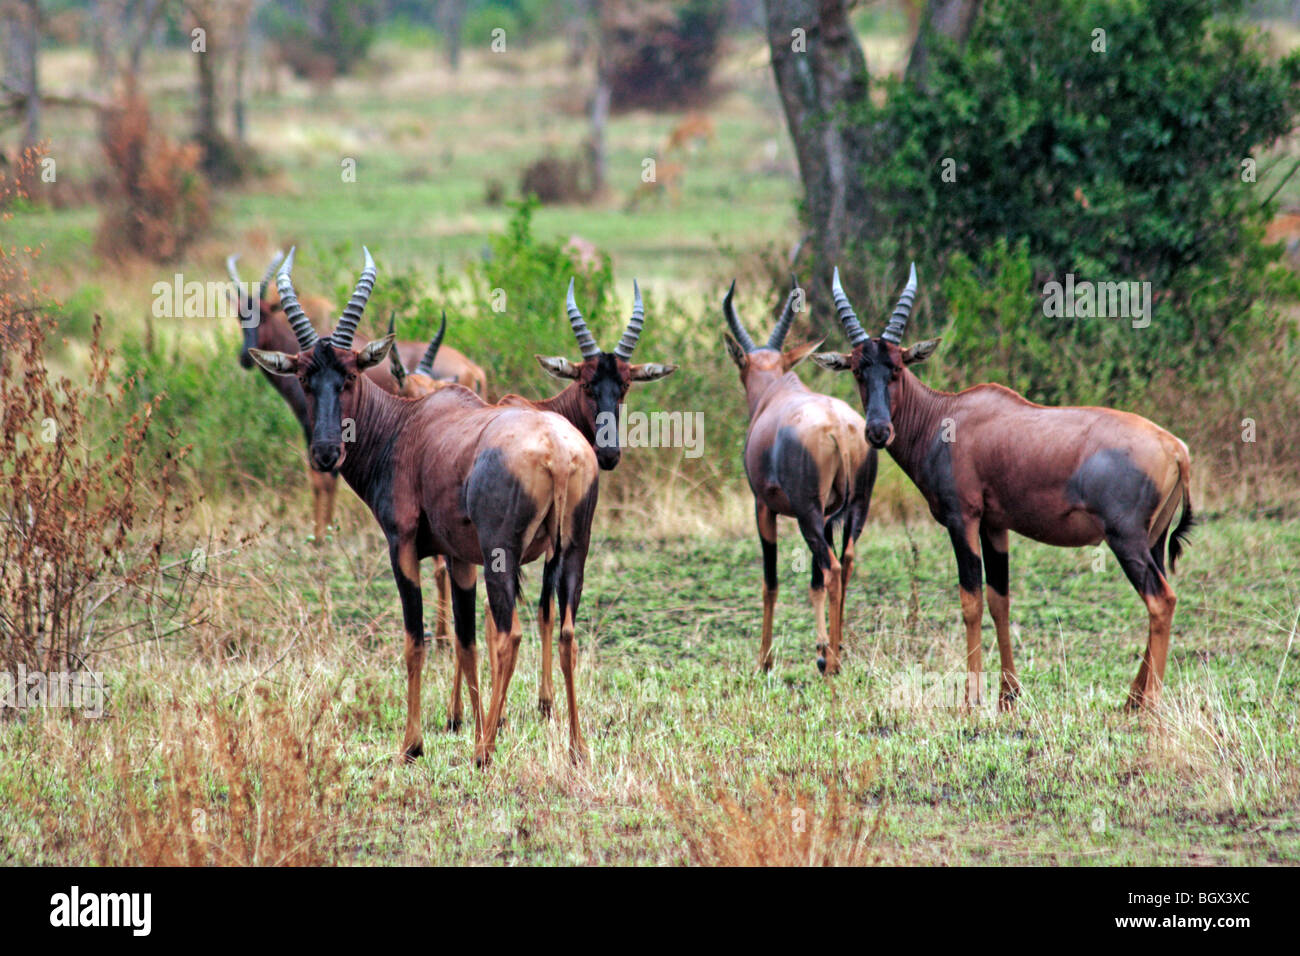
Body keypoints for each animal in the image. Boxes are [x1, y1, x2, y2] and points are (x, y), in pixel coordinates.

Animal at [248, 251, 598, 764]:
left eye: (350, 375)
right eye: (305, 378)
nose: (326, 454)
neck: (407, 426)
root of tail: (556, 448)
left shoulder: (405, 546)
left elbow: (416, 641)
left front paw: (412, 745)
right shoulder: (459, 557)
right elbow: (465, 643)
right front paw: (464, 723)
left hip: (503, 554)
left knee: (510, 634)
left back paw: (485, 753)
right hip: (573, 551)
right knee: (567, 630)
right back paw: (574, 747)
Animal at [441, 280, 676, 728]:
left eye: (624, 385)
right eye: (586, 383)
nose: (609, 454)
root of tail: (557, 456)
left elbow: (538, 611)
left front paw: (539, 703)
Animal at [728, 280, 878, 676]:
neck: (776, 391)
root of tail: (839, 427)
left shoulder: (764, 508)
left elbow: (771, 583)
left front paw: (765, 660)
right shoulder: (827, 516)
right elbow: (812, 584)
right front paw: (821, 647)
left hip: (807, 514)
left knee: (833, 569)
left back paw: (833, 664)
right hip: (855, 509)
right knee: (847, 562)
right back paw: (835, 653)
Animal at [816, 264, 1190, 712]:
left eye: (897, 368)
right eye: (858, 369)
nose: (877, 431)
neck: (948, 415)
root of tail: (1175, 448)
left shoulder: (963, 519)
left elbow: (971, 601)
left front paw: (970, 698)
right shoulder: (995, 524)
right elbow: (1000, 600)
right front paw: (1008, 694)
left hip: (1126, 539)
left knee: (1161, 600)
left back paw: (1149, 702)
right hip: (1153, 540)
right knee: (1161, 596)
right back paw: (1132, 698)